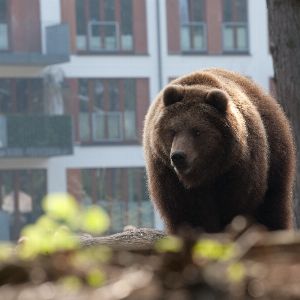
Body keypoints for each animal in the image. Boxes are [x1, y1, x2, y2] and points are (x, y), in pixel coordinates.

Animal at [143, 68, 296, 234]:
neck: (205, 175)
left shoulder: (238, 170)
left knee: (273, 205)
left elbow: (236, 208)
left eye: (197, 131)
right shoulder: (168, 175)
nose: (178, 156)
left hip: (275, 159)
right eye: (173, 131)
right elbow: (187, 213)